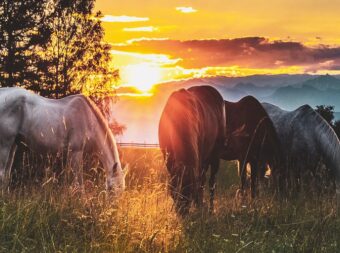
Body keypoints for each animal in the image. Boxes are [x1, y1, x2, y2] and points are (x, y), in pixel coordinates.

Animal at [159, 86, 226, 214]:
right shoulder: (168, 158)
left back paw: (210, 208)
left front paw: (198, 204)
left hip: (215, 156)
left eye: (190, 193)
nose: (182, 213)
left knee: (211, 182)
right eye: (175, 192)